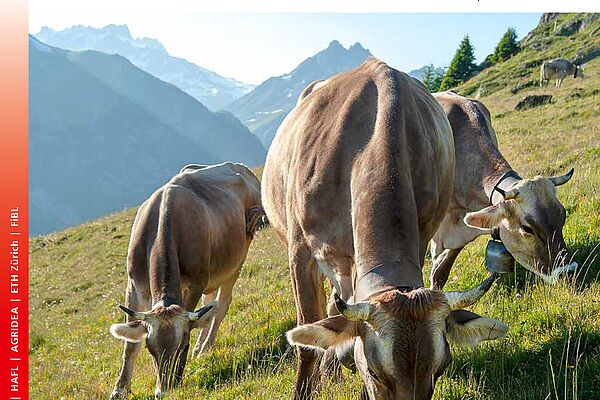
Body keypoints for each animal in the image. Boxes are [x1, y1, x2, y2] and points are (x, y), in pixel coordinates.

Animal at [109, 162, 264, 396]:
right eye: (150, 348)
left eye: (182, 345)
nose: (163, 391)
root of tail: (238, 166)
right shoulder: (134, 286)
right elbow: (130, 344)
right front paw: (120, 389)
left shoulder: (196, 284)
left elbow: (195, 320)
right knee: (210, 304)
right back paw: (200, 347)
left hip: (236, 261)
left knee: (221, 305)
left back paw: (204, 348)